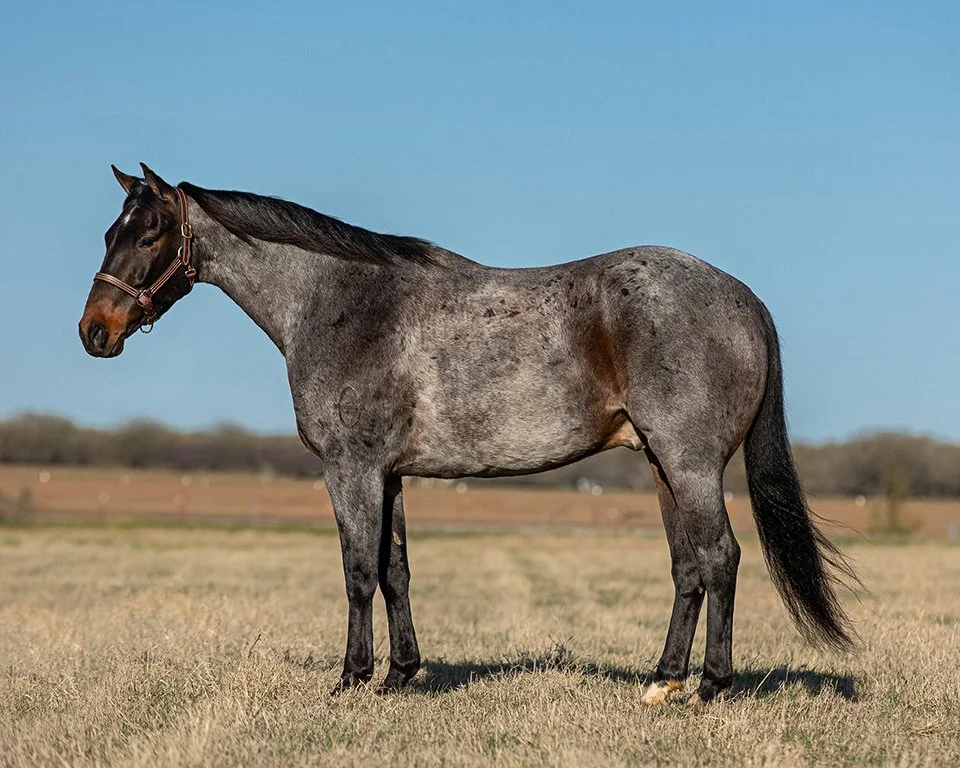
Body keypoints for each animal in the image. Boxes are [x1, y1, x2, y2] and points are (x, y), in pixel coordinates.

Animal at [79, 163, 856, 705]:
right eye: (109, 234)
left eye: (148, 234)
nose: (95, 333)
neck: (343, 304)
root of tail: (742, 297)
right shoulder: (389, 473)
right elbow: (394, 569)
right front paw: (400, 675)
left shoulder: (350, 468)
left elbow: (357, 571)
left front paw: (351, 679)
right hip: (664, 466)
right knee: (689, 566)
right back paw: (663, 682)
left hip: (689, 463)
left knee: (719, 557)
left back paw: (709, 687)